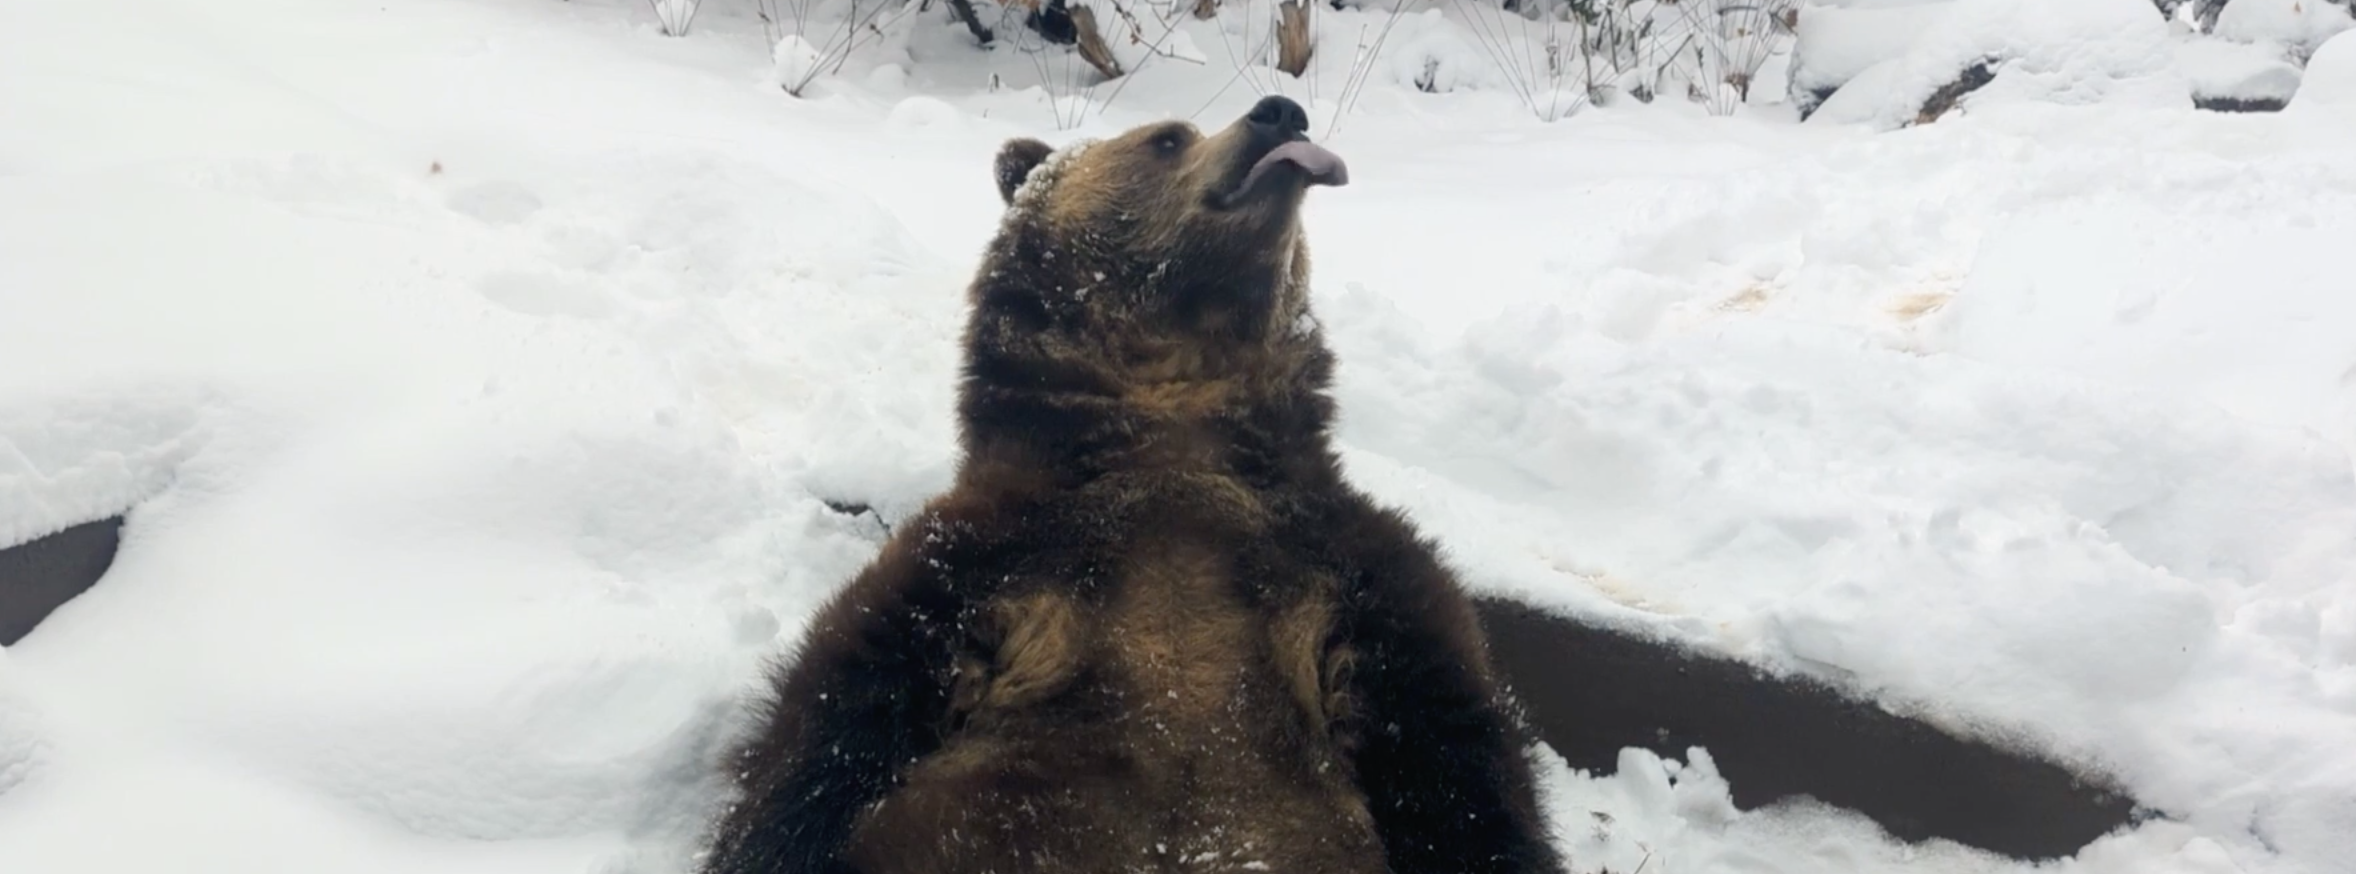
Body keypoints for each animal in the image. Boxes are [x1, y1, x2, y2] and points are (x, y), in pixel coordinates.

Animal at [698, 95, 1568, 874]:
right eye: (1167, 137)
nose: (1280, 112)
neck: (1169, 430)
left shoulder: (1349, 566)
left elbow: (1457, 762)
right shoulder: (989, 551)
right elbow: (832, 729)